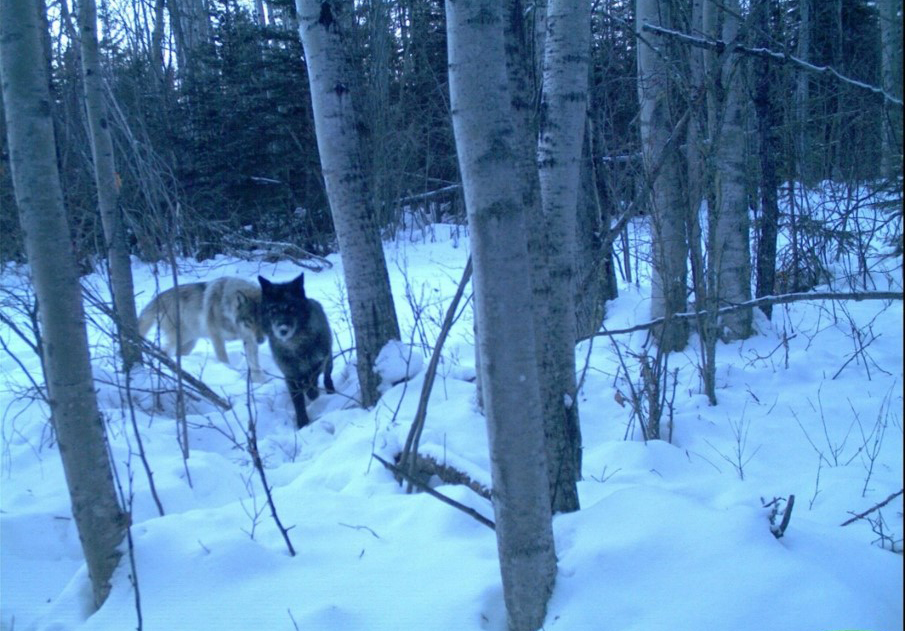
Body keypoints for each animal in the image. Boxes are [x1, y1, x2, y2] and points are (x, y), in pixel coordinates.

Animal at [258, 272, 336, 430]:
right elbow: (297, 401)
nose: (282, 330)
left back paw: (329, 390)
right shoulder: (289, 375)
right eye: (273, 310)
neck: (295, 346)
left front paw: (312, 393)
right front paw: (302, 423)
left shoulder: (318, 362)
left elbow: (313, 379)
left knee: (327, 376)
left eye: (292, 308)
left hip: (329, 360)